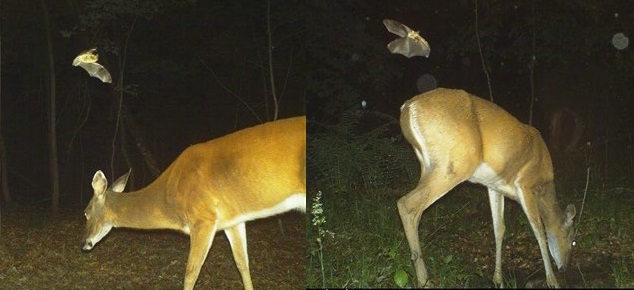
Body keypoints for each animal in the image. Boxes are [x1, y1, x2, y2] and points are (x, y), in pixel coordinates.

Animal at [82, 116, 306, 290]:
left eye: (86, 212)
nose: (84, 244)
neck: (169, 198)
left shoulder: (203, 218)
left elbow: (191, 272)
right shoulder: (232, 221)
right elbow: (242, 264)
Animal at [398, 89, 576, 288]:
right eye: (572, 239)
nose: (564, 267)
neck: (543, 187)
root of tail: (407, 108)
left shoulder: (495, 186)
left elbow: (499, 229)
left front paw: (498, 279)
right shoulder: (525, 184)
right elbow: (538, 230)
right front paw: (552, 281)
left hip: (428, 166)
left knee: (415, 210)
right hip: (455, 165)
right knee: (406, 204)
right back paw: (424, 280)